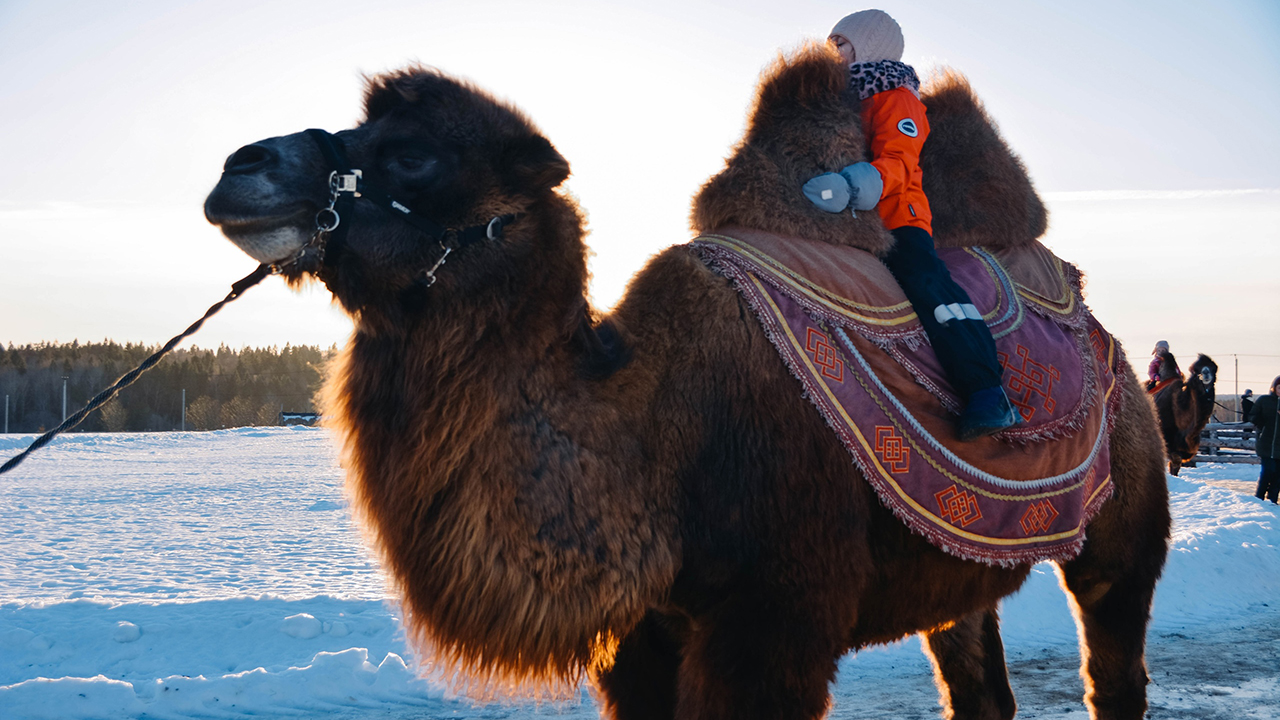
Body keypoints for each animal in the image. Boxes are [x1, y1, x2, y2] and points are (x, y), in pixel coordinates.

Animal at [204, 41, 1172, 712]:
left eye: (413, 153)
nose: (239, 167)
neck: (653, 431)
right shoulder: (643, 639)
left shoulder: (773, 627)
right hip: (957, 568)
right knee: (980, 684)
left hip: (1122, 526)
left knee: (1114, 661)